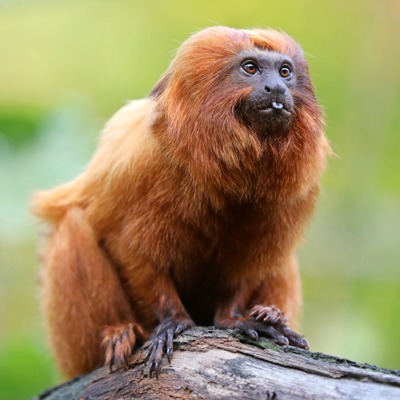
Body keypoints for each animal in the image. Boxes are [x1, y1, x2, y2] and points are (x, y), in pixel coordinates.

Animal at [32, 25, 332, 378]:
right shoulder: (140, 157)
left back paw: (270, 313)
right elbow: (132, 250)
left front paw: (235, 318)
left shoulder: (299, 185)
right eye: (251, 68)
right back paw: (119, 332)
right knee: (73, 228)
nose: (277, 89)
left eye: (285, 72)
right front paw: (173, 320)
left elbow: (250, 263)